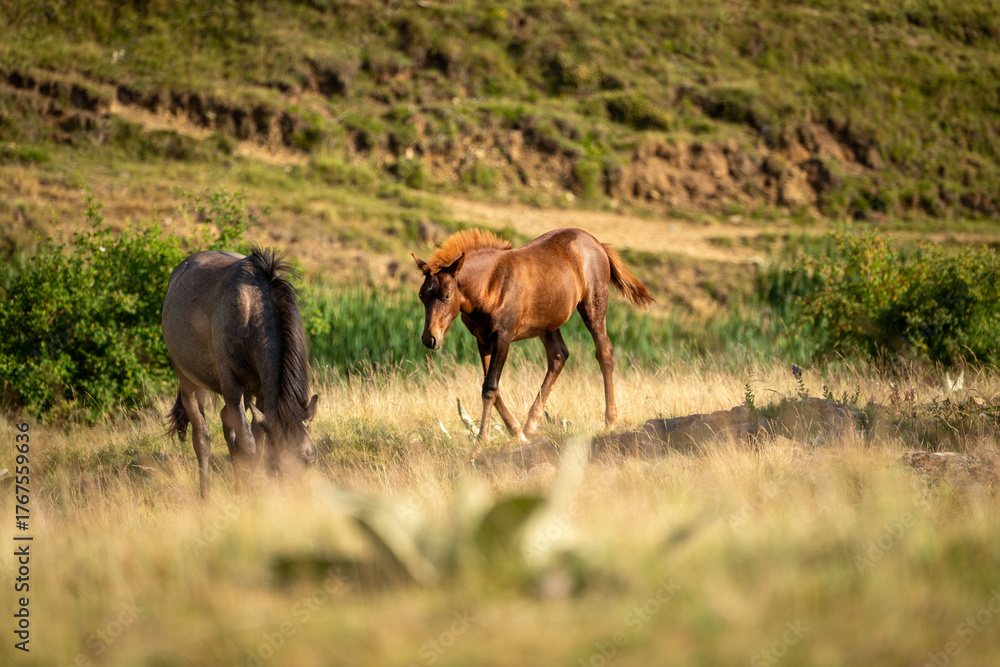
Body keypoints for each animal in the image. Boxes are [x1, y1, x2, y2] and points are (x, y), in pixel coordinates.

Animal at [161, 245, 318, 496]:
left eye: (309, 460)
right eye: (277, 466)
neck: (250, 309)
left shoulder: (261, 391)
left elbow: (256, 440)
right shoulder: (231, 384)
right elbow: (248, 445)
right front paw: (247, 493)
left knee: (227, 424)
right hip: (190, 382)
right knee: (202, 436)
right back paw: (205, 494)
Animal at [412, 228, 653, 451]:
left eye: (447, 296)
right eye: (421, 296)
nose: (429, 339)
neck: (490, 284)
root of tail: (597, 243)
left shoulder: (503, 338)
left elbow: (489, 387)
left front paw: (480, 443)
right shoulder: (483, 340)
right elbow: (493, 388)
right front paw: (517, 432)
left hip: (593, 309)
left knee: (604, 353)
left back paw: (610, 420)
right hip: (547, 322)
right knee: (558, 356)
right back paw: (530, 425)